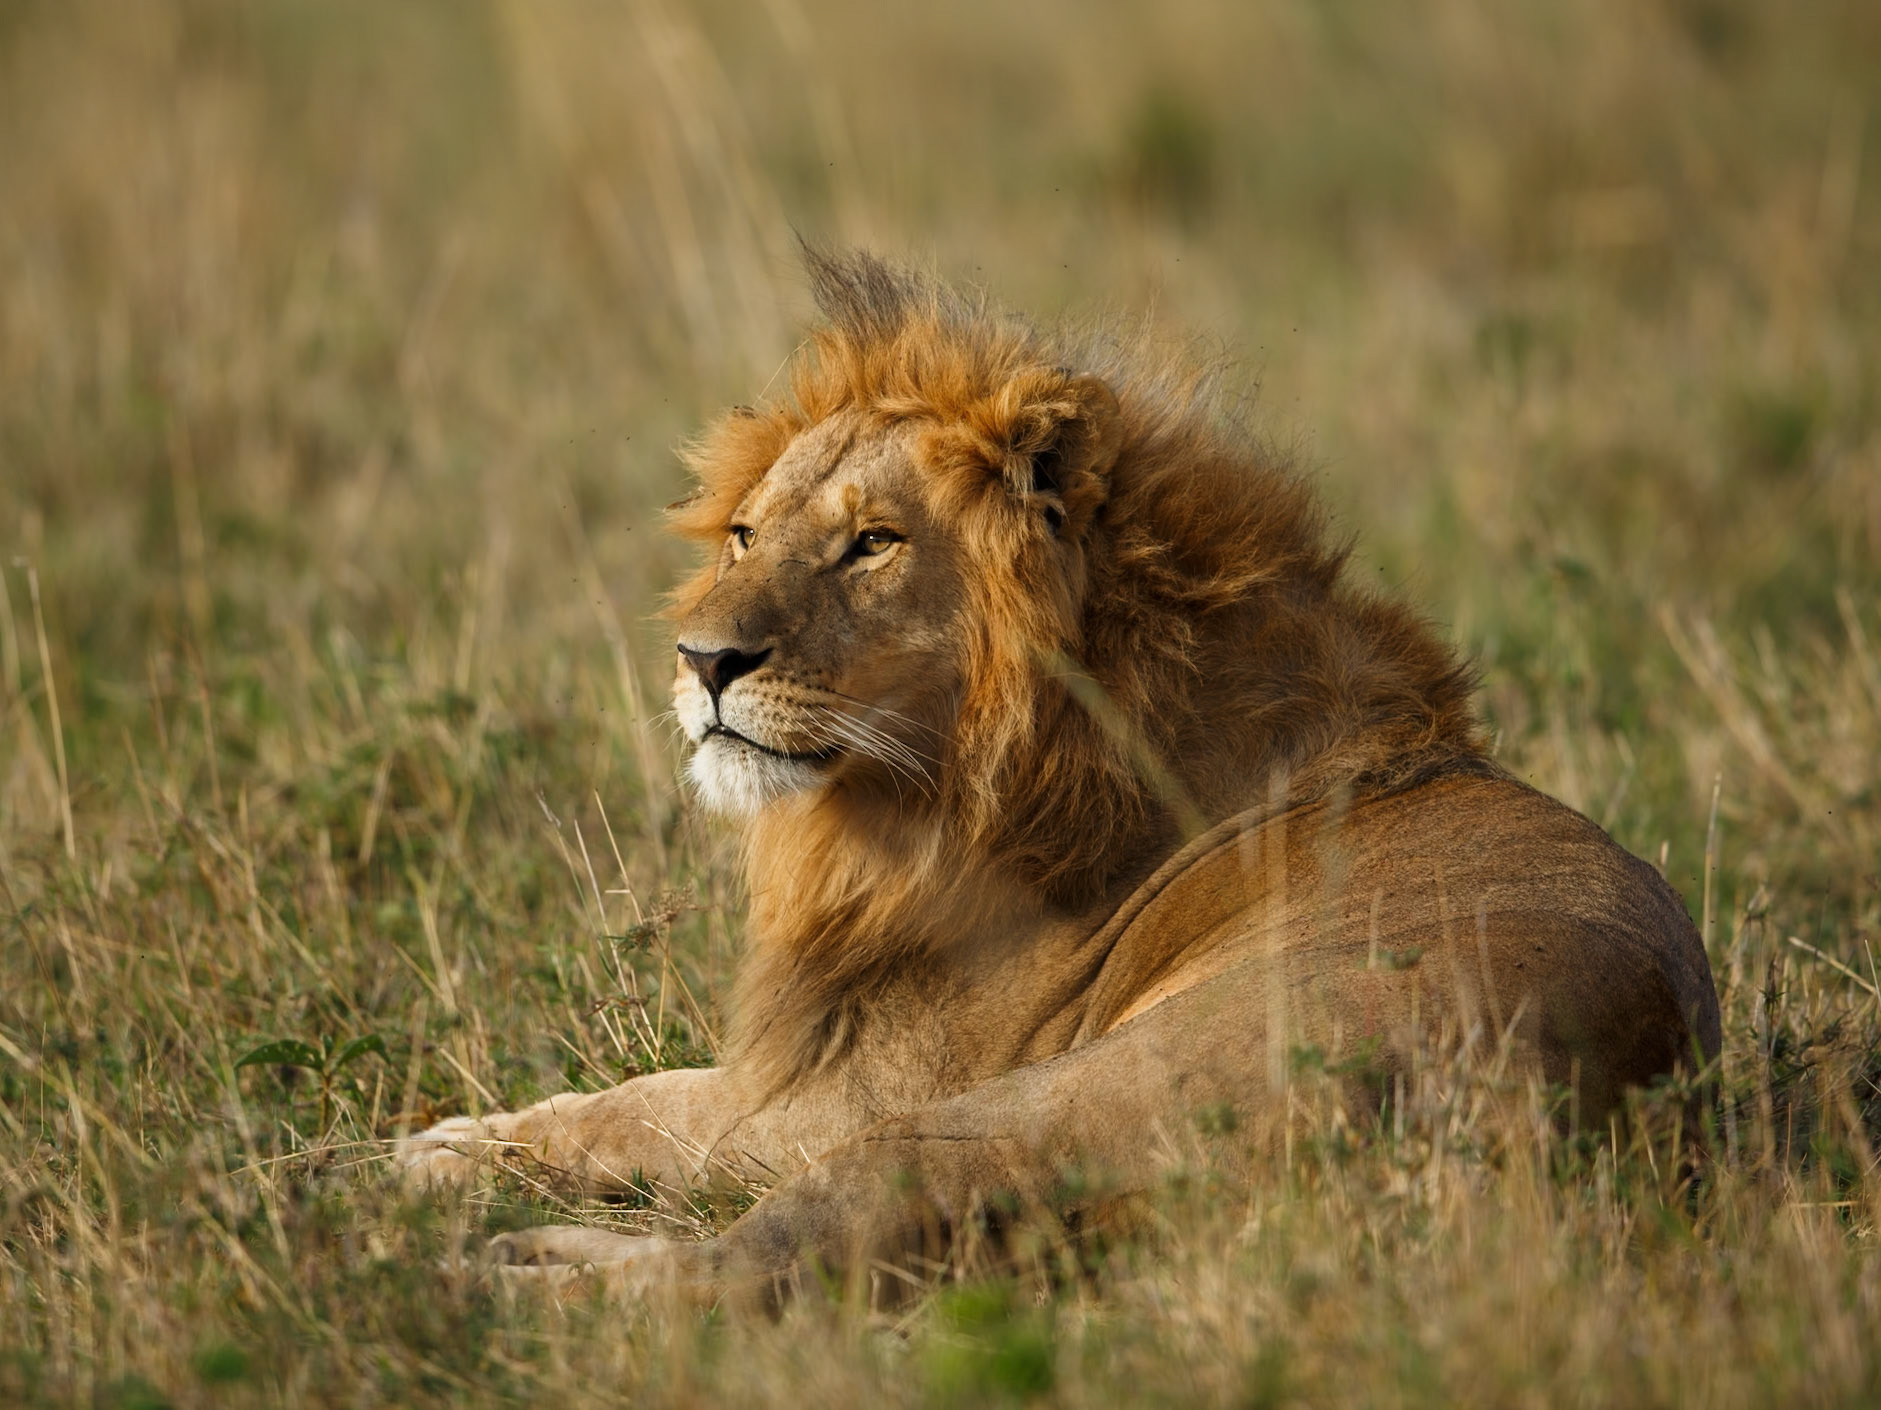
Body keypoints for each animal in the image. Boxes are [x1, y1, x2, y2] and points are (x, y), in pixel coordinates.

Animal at [400, 250, 1721, 1306]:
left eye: (871, 543)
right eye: (742, 535)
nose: (702, 661)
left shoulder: (846, 1094)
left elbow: (655, 1108)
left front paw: (439, 1162)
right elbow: (640, 1087)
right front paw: (457, 1141)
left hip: (1003, 1113)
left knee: (744, 1273)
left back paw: (507, 1274)